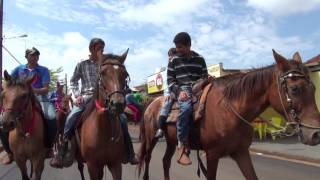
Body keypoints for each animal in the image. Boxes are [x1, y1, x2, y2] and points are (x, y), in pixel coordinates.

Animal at [139, 49, 320, 180]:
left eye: (314, 88)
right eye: (294, 89)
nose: (316, 134)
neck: (230, 111)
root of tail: (151, 104)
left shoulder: (241, 153)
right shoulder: (212, 155)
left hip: (171, 141)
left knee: (165, 161)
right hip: (151, 138)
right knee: (147, 158)